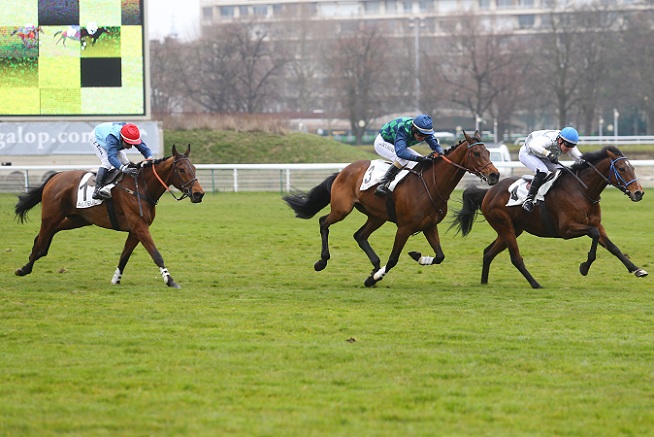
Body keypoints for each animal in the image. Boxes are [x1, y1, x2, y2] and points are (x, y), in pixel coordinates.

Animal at [14, 144, 204, 290]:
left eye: (194, 169)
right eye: (181, 169)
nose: (199, 194)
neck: (141, 187)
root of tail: (55, 176)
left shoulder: (136, 229)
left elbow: (124, 256)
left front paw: (116, 279)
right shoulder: (139, 226)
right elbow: (156, 254)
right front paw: (170, 280)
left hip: (78, 219)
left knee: (48, 234)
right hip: (50, 216)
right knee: (41, 238)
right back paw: (24, 268)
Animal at [284, 129, 502, 286]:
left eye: (488, 152)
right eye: (476, 153)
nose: (494, 175)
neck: (431, 185)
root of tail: (344, 170)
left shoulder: (429, 226)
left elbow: (440, 256)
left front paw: (418, 257)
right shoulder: (404, 227)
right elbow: (393, 259)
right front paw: (374, 278)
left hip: (376, 216)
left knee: (359, 235)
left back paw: (374, 264)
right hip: (342, 209)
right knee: (323, 222)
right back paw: (322, 261)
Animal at [454, 146, 648, 290]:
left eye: (633, 168)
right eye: (622, 168)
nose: (638, 193)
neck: (582, 191)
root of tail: (488, 192)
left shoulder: (597, 225)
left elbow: (613, 247)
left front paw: (637, 270)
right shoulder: (566, 229)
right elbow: (593, 234)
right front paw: (584, 267)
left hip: (513, 229)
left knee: (488, 253)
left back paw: (484, 282)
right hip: (505, 227)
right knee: (515, 258)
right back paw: (535, 284)